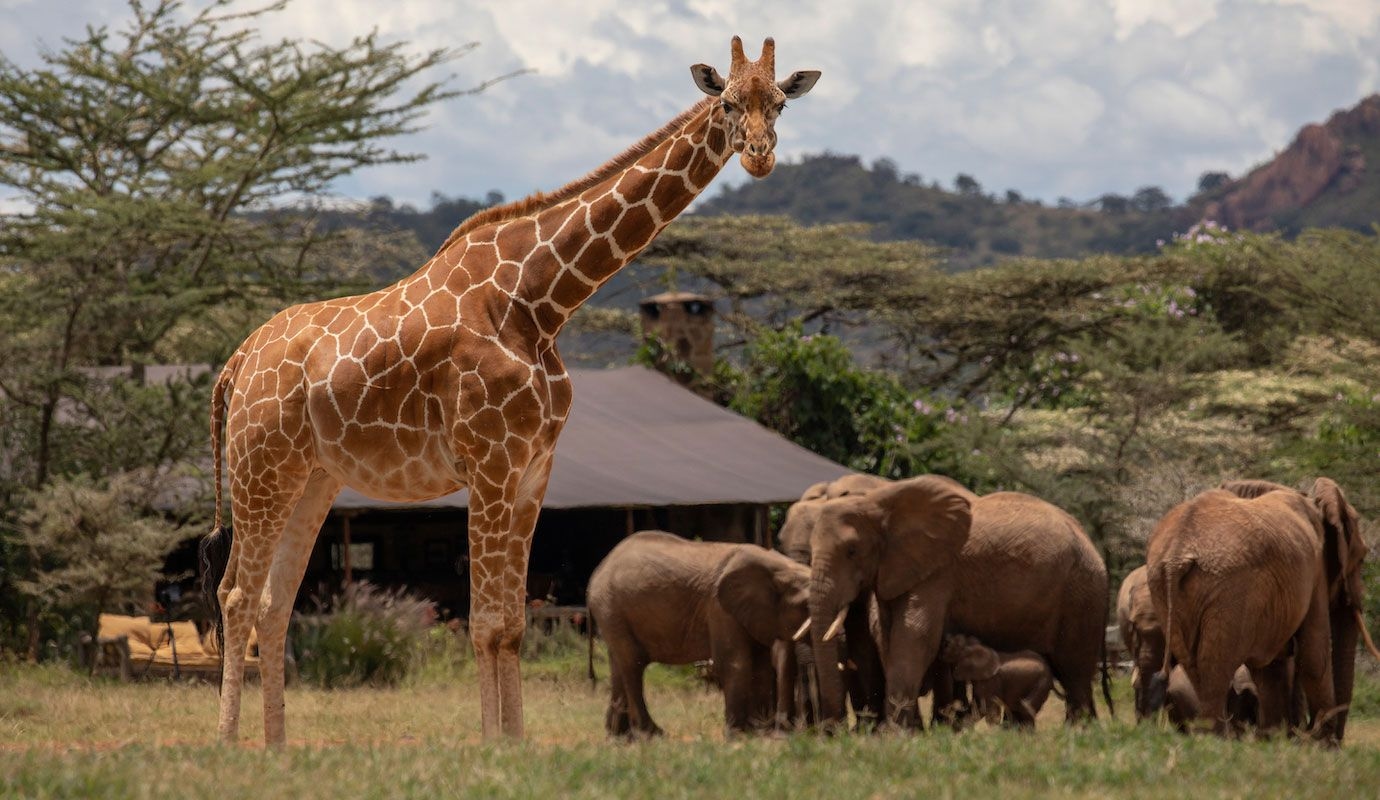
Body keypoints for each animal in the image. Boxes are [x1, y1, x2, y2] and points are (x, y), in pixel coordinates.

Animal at [587, 530, 811, 737]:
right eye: (806, 606)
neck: (781, 567)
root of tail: (599, 569)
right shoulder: (718, 607)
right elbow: (735, 662)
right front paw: (739, 735)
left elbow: (761, 666)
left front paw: (759, 733)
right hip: (610, 606)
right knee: (633, 663)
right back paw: (652, 735)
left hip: (612, 613)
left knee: (618, 664)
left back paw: (620, 737)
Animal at [806, 475, 1110, 729]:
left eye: (851, 551)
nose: (834, 732)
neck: (880, 501)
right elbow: (887, 637)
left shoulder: (938, 572)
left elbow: (915, 638)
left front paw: (896, 734)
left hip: (1081, 593)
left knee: (1075, 674)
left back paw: (1077, 733)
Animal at [1146, 477, 1375, 743]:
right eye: (1361, 558)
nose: (1305, 730)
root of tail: (1176, 556)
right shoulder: (1314, 571)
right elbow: (1314, 655)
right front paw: (1322, 746)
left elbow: (1272, 666)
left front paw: (1273, 742)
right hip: (1229, 592)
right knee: (1214, 668)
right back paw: (1216, 743)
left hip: (1165, 592)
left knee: (1195, 667)